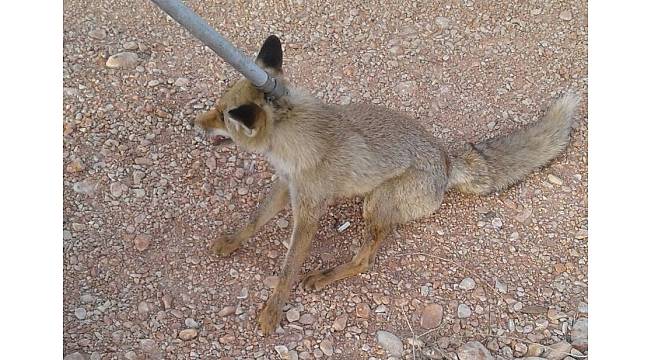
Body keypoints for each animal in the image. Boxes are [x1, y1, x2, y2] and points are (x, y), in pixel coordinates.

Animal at [192, 35, 576, 334]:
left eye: (220, 114)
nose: (197, 121)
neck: (294, 140)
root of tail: (446, 161)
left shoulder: (309, 211)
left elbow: (287, 271)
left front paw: (272, 311)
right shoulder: (288, 186)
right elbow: (254, 221)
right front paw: (232, 242)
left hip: (374, 204)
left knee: (364, 261)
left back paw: (325, 276)